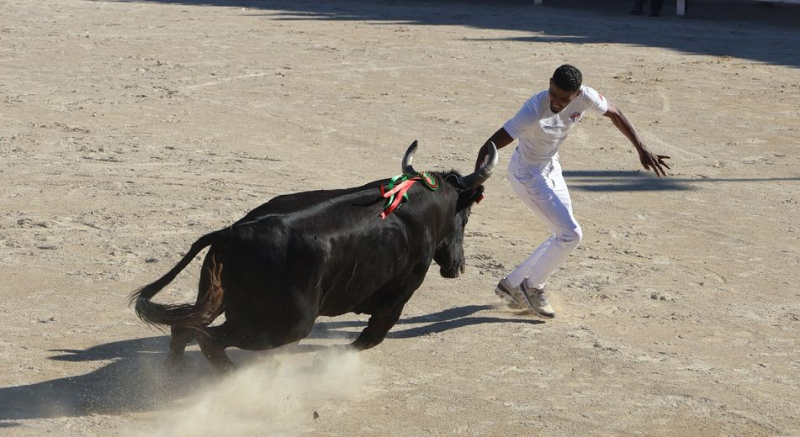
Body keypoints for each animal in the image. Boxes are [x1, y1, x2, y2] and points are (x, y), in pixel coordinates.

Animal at [131, 141, 494, 370]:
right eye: (465, 218)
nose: (457, 266)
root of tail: (231, 233)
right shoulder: (398, 295)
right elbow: (370, 338)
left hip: (220, 298)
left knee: (184, 328)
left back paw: (172, 375)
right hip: (286, 325)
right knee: (208, 338)